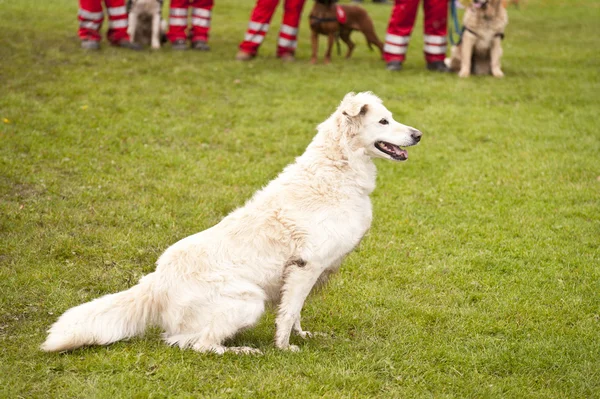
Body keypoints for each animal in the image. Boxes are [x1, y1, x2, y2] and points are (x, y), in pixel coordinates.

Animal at [41, 93, 422, 356]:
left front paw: (302, 335)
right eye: (384, 122)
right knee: (194, 344)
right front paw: (285, 348)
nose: (418, 134)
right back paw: (241, 350)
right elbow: (288, 314)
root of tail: (157, 282)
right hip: (249, 300)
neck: (338, 170)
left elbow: (295, 310)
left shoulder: (305, 272)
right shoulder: (306, 265)